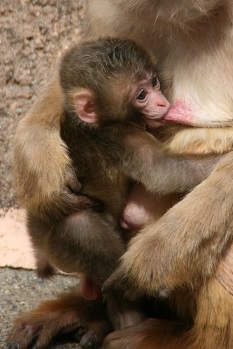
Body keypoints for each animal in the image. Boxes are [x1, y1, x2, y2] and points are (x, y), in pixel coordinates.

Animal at [9, 0, 233, 348]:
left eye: (154, 83)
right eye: (141, 94)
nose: (161, 103)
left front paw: (155, 259)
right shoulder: (121, 134)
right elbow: (161, 170)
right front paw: (40, 165)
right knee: (81, 226)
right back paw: (99, 312)